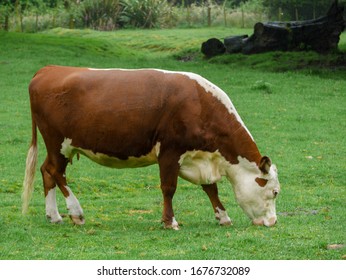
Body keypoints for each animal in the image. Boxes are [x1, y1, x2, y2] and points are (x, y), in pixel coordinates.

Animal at [21, 65, 280, 230]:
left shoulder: (199, 158)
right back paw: (75, 212)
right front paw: (169, 222)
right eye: (275, 192)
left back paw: (54, 216)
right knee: (55, 172)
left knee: (47, 171)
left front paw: (223, 217)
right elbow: (168, 188)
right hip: (58, 142)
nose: (273, 222)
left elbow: (211, 189)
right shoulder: (170, 151)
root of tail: (49, 69)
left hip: (59, 146)